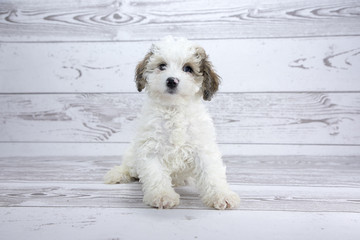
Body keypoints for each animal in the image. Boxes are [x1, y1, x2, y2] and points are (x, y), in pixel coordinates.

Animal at [104, 36, 239, 210]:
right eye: (162, 66)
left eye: (188, 68)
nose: (171, 81)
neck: (174, 110)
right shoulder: (150, 148)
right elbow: (156, 175)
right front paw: (162, 196)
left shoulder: (203, 148)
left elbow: (212, 174)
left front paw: (221, 195)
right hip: (132, 155)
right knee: (129, 167)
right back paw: (117, 174)